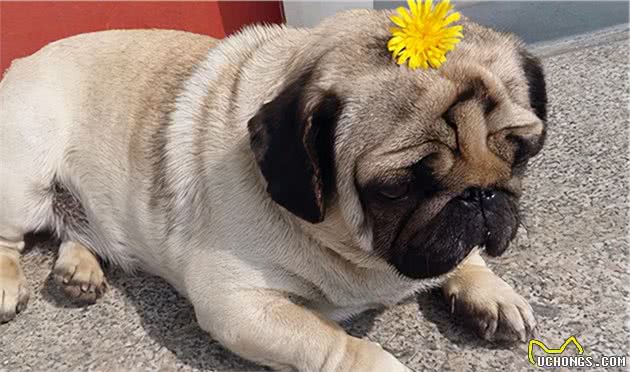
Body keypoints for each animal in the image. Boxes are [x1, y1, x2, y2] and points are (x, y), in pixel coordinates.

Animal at [0, 8, 544, 372]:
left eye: (520, 151)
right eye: (396, 189)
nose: (480, 195)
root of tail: (22, 61)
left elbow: (464, 258)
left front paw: (487, 290)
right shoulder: (237, 302)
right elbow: (333, 342)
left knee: (75, 228)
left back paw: (78, 267)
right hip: (24, 177)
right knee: (10, 237)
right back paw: (11, 283)